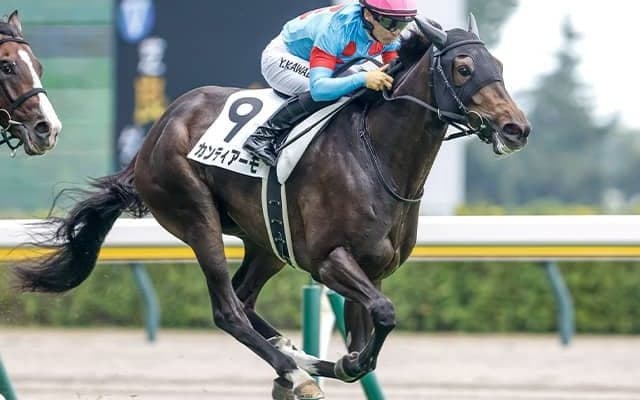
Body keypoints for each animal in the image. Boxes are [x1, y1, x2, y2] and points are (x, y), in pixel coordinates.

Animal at [12, 18, 529, 399]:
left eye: (499, 63)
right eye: (463, 67)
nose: (516, 128)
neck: (377, 155)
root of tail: (154, 133)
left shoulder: (372, 269)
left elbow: (368, 336)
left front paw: (341, 360)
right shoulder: (328, 260)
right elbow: (383, 317)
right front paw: (337, 363)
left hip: (267, 241)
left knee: (244, 297)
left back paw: (294, 358)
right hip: (196, 215)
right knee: (228, 309)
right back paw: (294, 370)